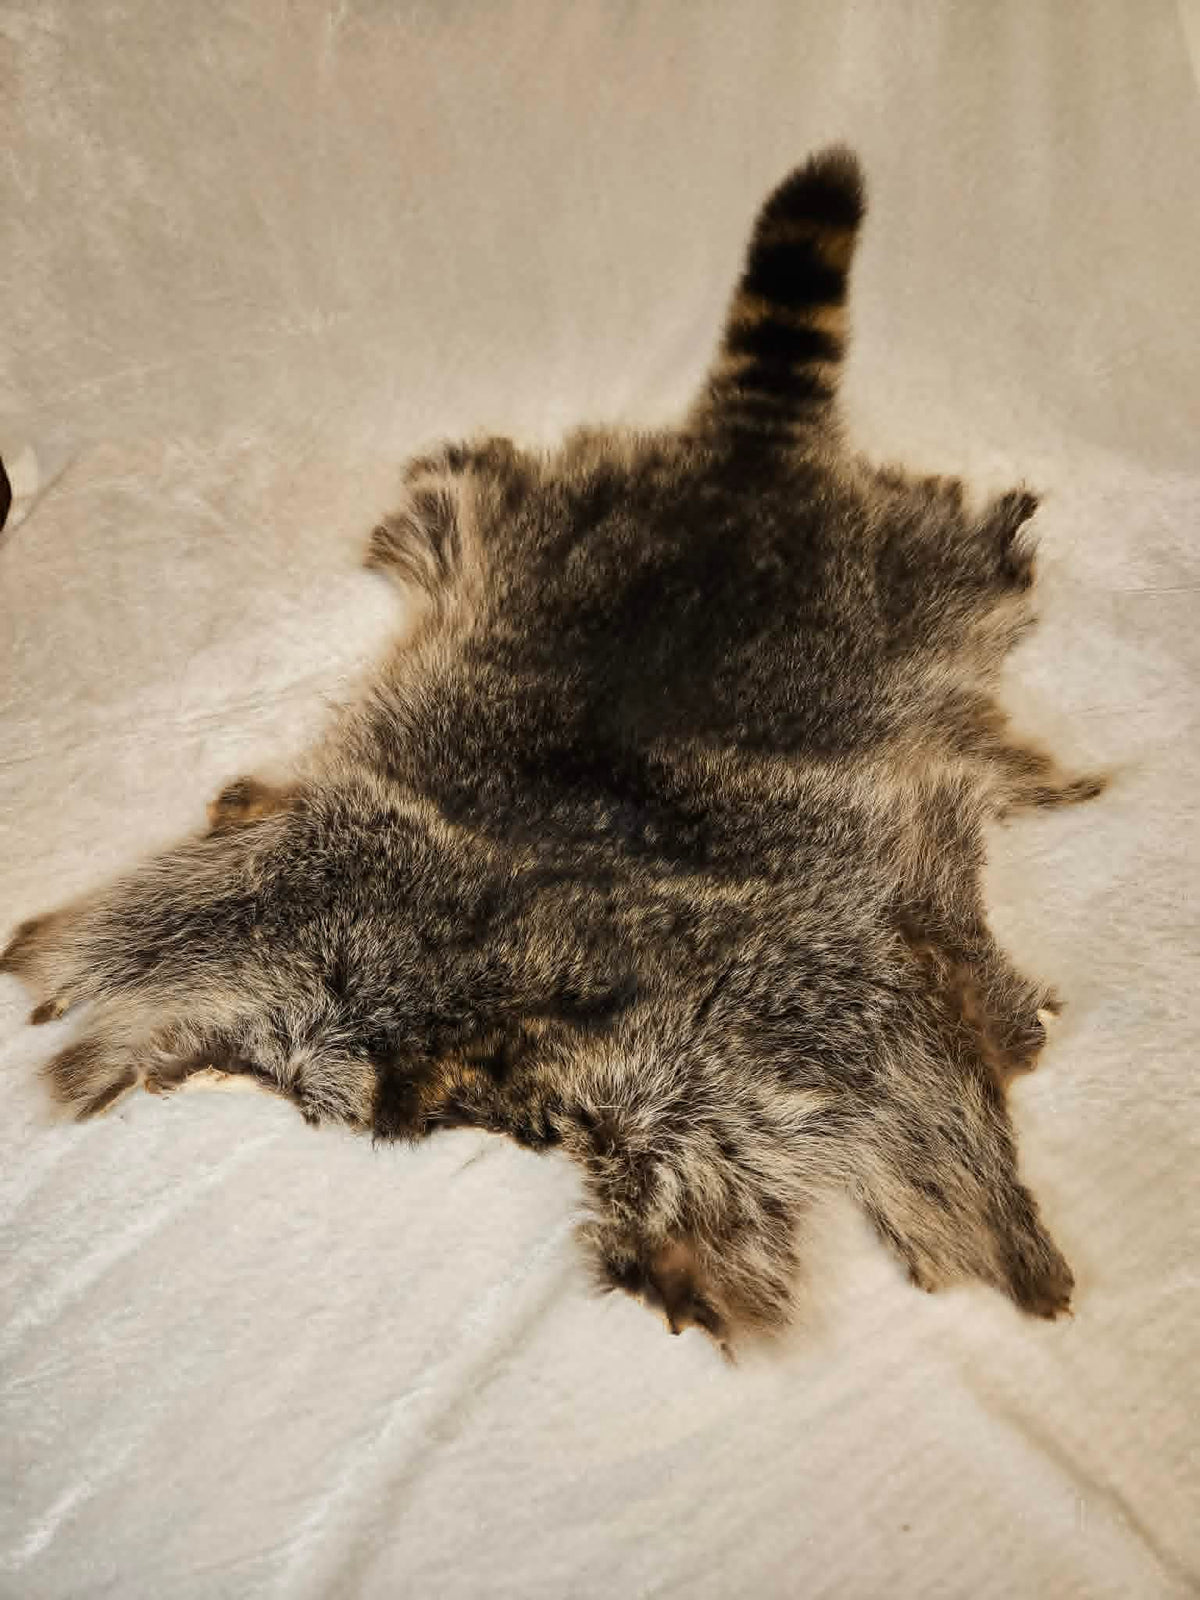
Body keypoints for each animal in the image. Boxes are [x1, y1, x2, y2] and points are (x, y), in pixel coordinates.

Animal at [2, 149, 1103, 1349]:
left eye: (530, 1119)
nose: (412, 1110)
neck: (521, 921)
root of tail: (744, 466)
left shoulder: (804, 992)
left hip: (899, 573)